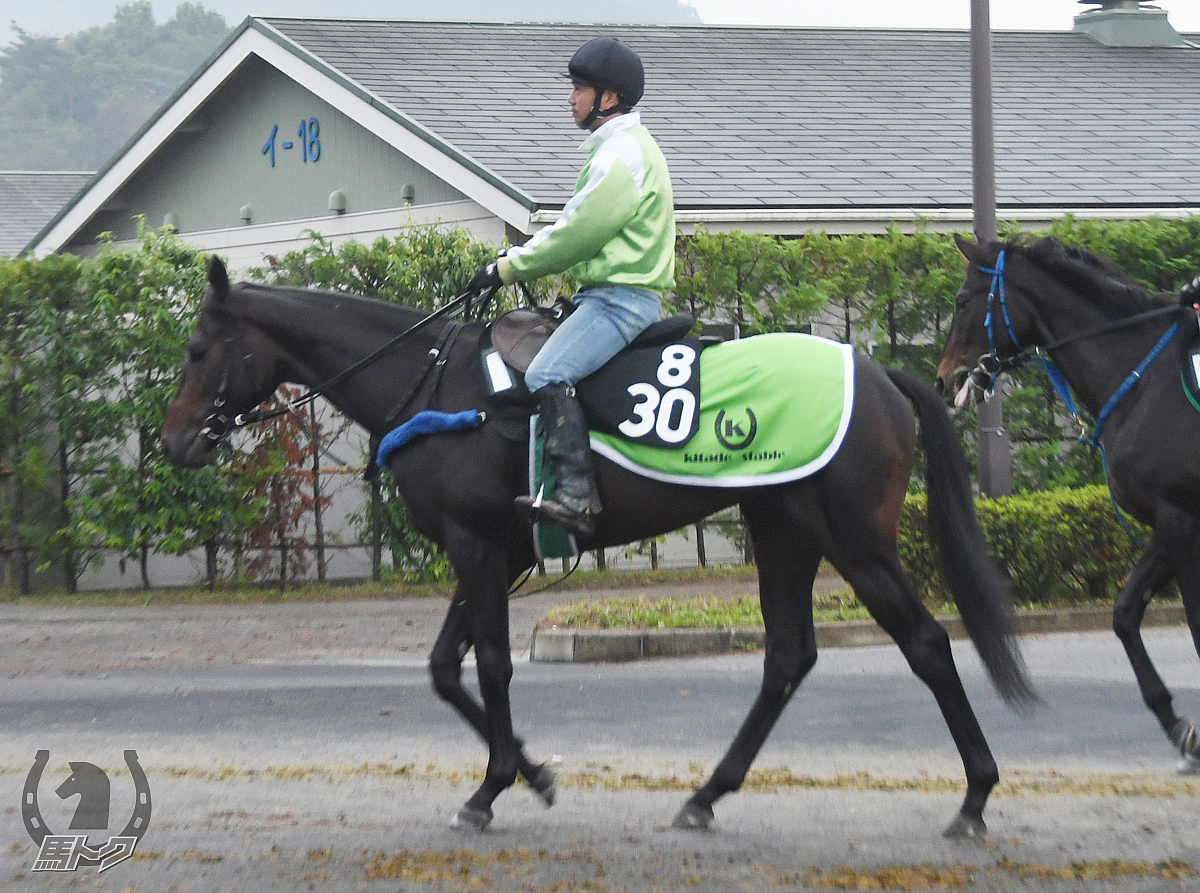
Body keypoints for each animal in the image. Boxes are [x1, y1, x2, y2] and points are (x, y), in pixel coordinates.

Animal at [164, 256, 1036, 835]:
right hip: (783, 529)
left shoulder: (479, 547)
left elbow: (489, 664)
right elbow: (446, 667)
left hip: (854, 539)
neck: (441, 385)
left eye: (199, 350)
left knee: (925, 643)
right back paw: (706, 795)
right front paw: (533, 769)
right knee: (788, 656)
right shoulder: (493, 550)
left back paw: (974, 796)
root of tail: (878, 371)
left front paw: (494, 786)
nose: (175, 442)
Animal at [936, 235, 1200, 772]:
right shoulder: (1166, 524)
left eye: (962, 302)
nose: (945, 378)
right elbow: (1124, 613)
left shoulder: (1181, 521)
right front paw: (1177, 725)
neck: (1146, 383)